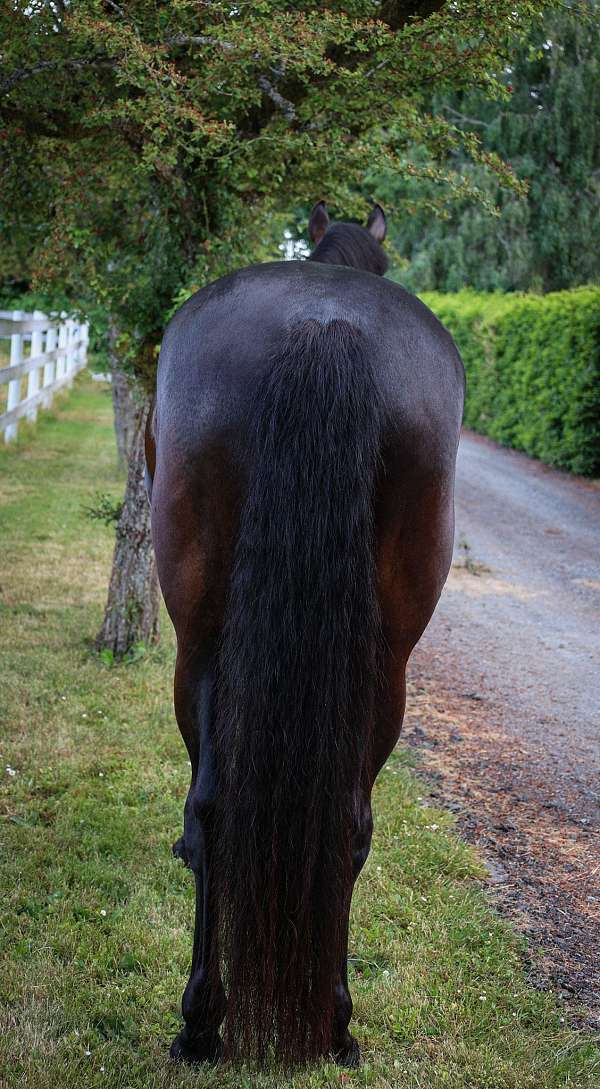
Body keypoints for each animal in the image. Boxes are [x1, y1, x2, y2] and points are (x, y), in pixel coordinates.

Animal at [145, 200, 463, 1067]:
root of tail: (322, 326)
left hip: (200, 643)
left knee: (215, 807)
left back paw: (211, 1025)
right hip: (382, 667)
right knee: (340, 822)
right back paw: (324, 1023)